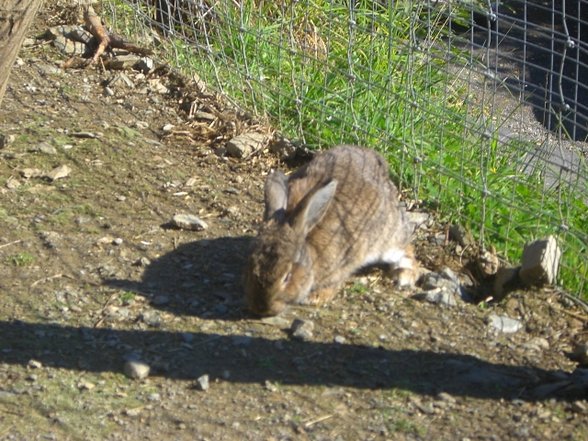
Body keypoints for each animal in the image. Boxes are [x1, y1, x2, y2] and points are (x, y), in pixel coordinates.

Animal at [243, 146, 418, 314]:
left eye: (287, 277)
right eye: (251, 265)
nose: (261, 308)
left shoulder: (342, 264)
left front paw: (315, 297)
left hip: (387, 237)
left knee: (406, 246)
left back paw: (404, 275)